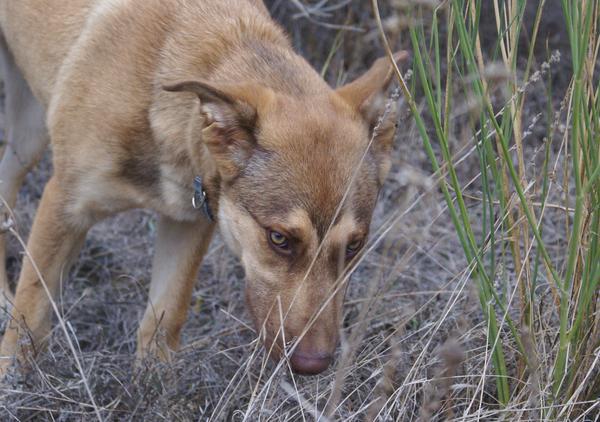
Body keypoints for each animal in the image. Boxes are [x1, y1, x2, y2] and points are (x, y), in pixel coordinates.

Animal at [0, 0, 406, 376]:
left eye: (354, 246)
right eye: (278, 239)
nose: (313, 364)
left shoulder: (188, 224)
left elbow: (163, 320)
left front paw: (153, 388)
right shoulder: (65, 206)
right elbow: (30, 315)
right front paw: (15, 381)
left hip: (28, 139)